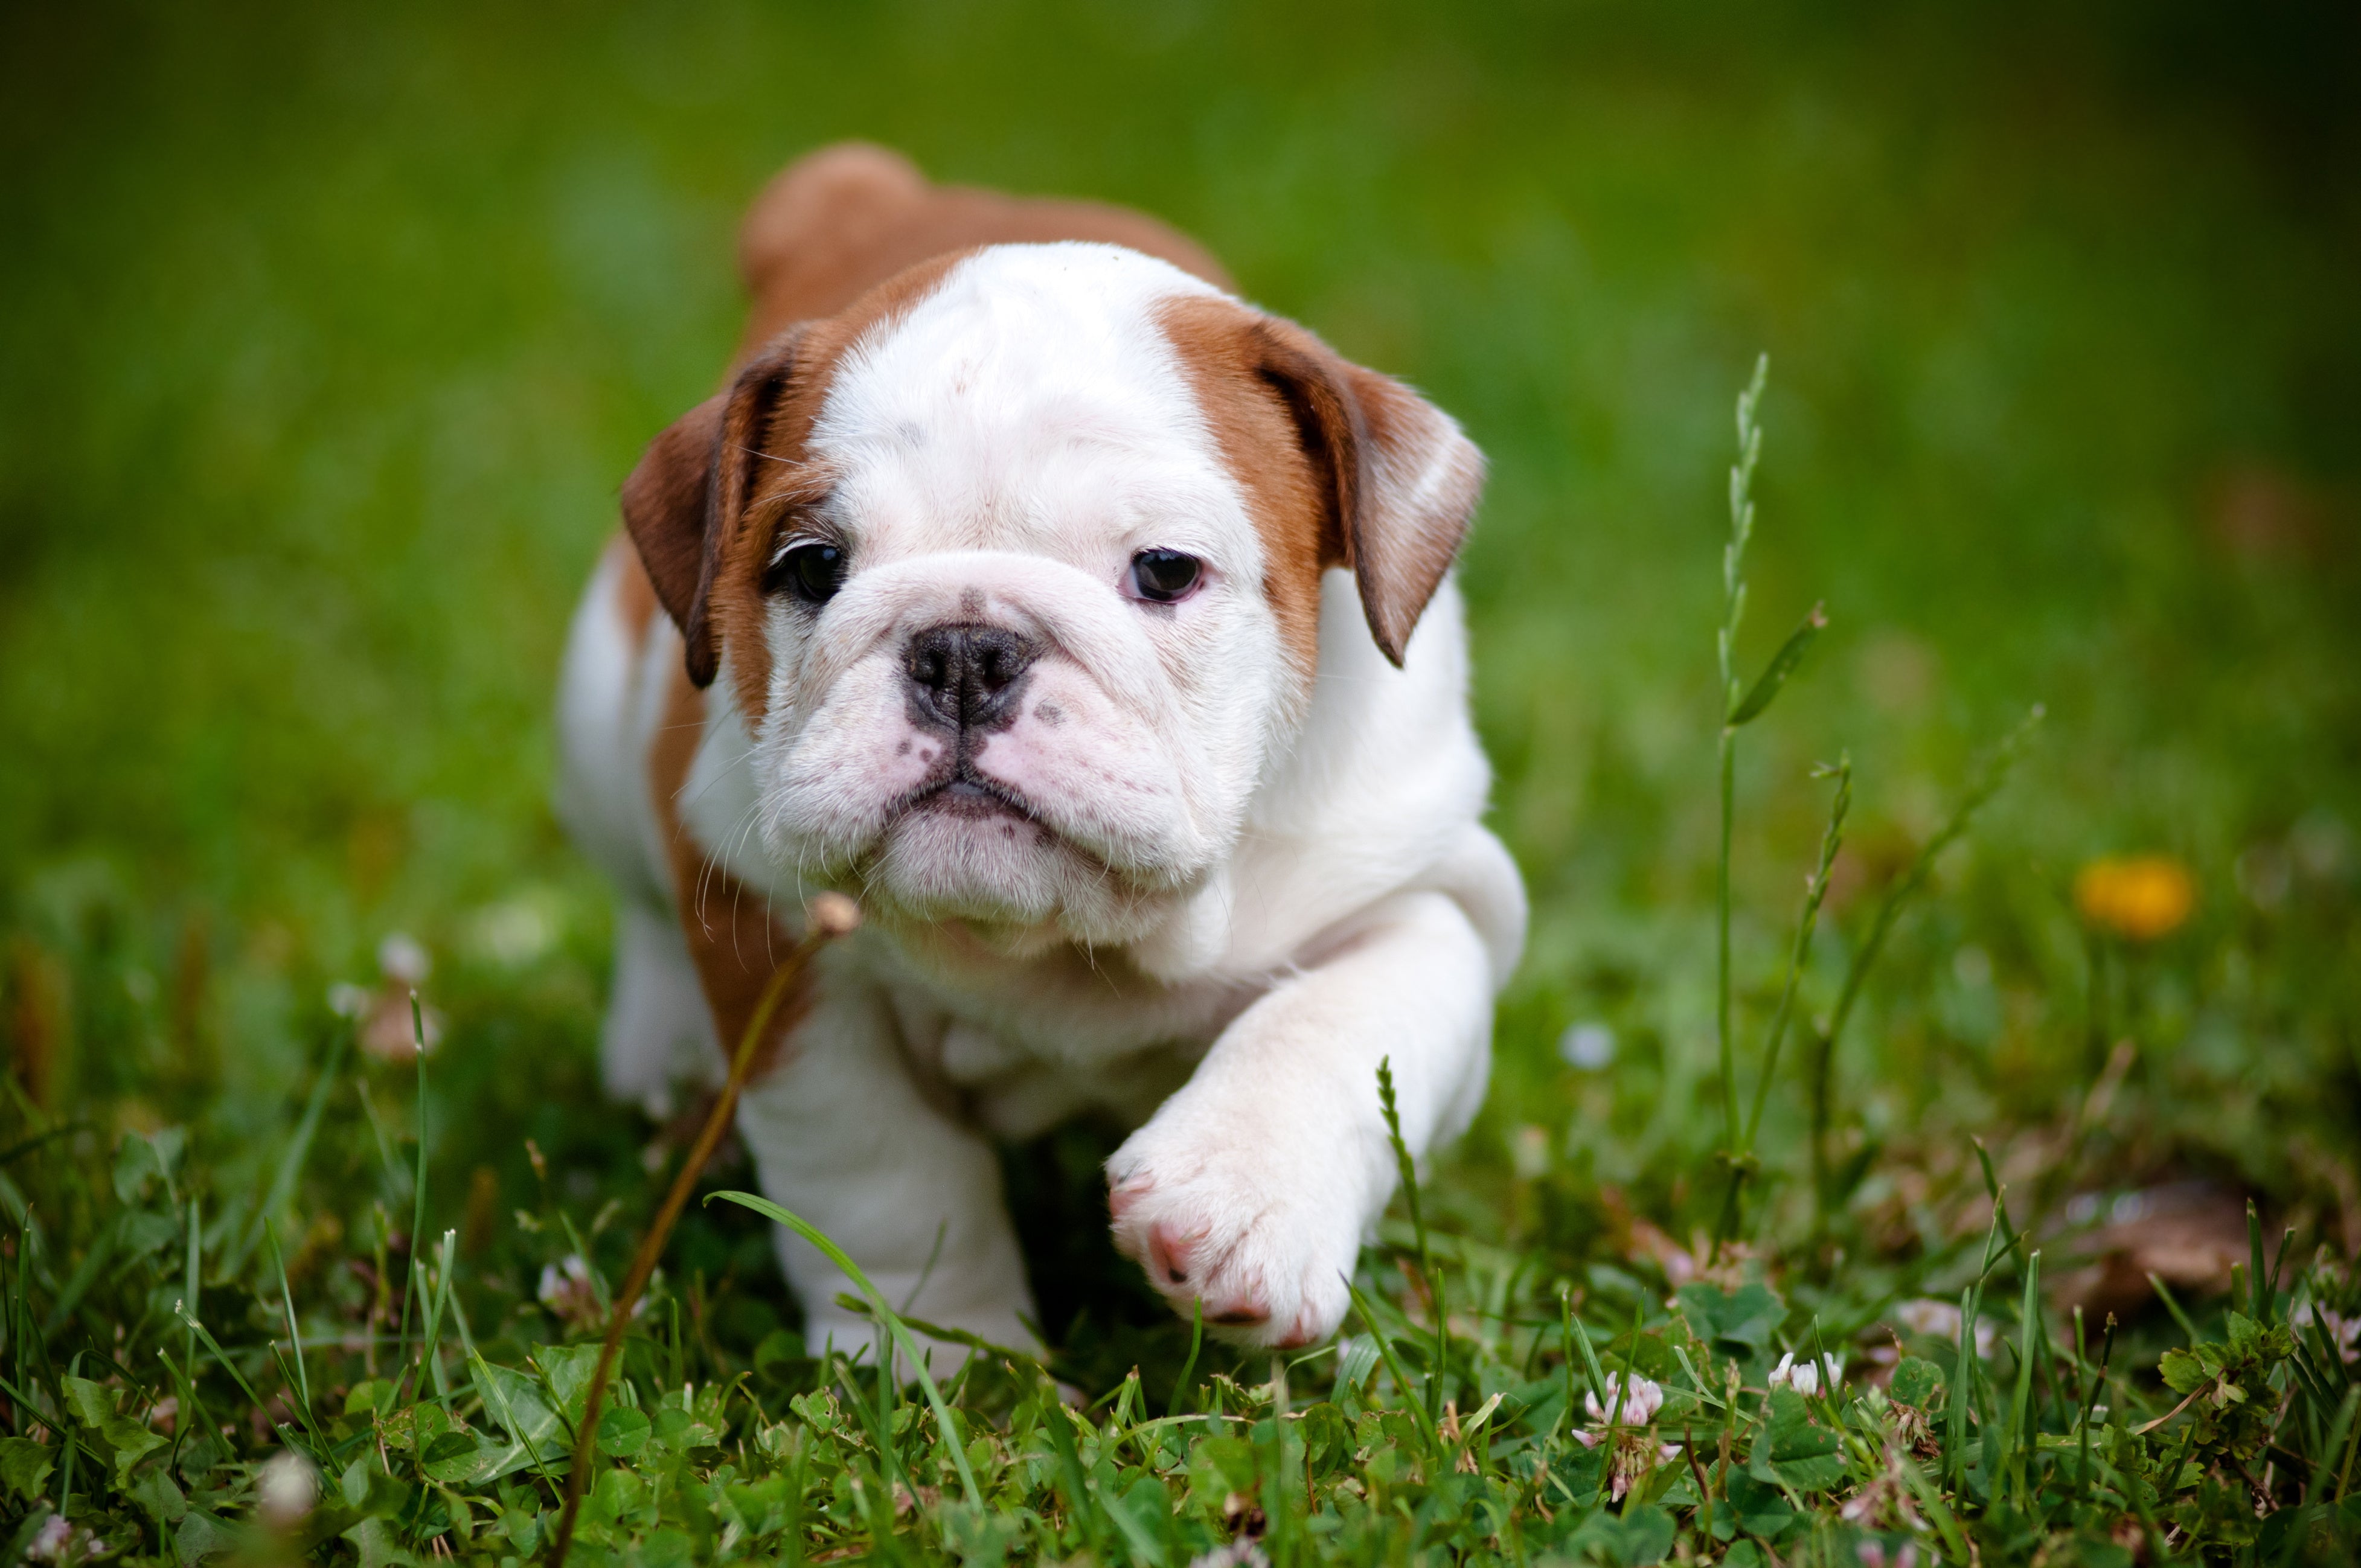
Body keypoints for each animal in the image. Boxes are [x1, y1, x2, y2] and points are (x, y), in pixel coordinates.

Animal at [564, 141, 1539, 1351]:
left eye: (1165, 570)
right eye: (811, 565)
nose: (963, 651)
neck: (1067, 947)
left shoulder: (1433, 889)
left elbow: (1344, 1020)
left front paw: (1240, 1200)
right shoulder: (779, 945)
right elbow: (878, 1166)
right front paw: (938, 1347)